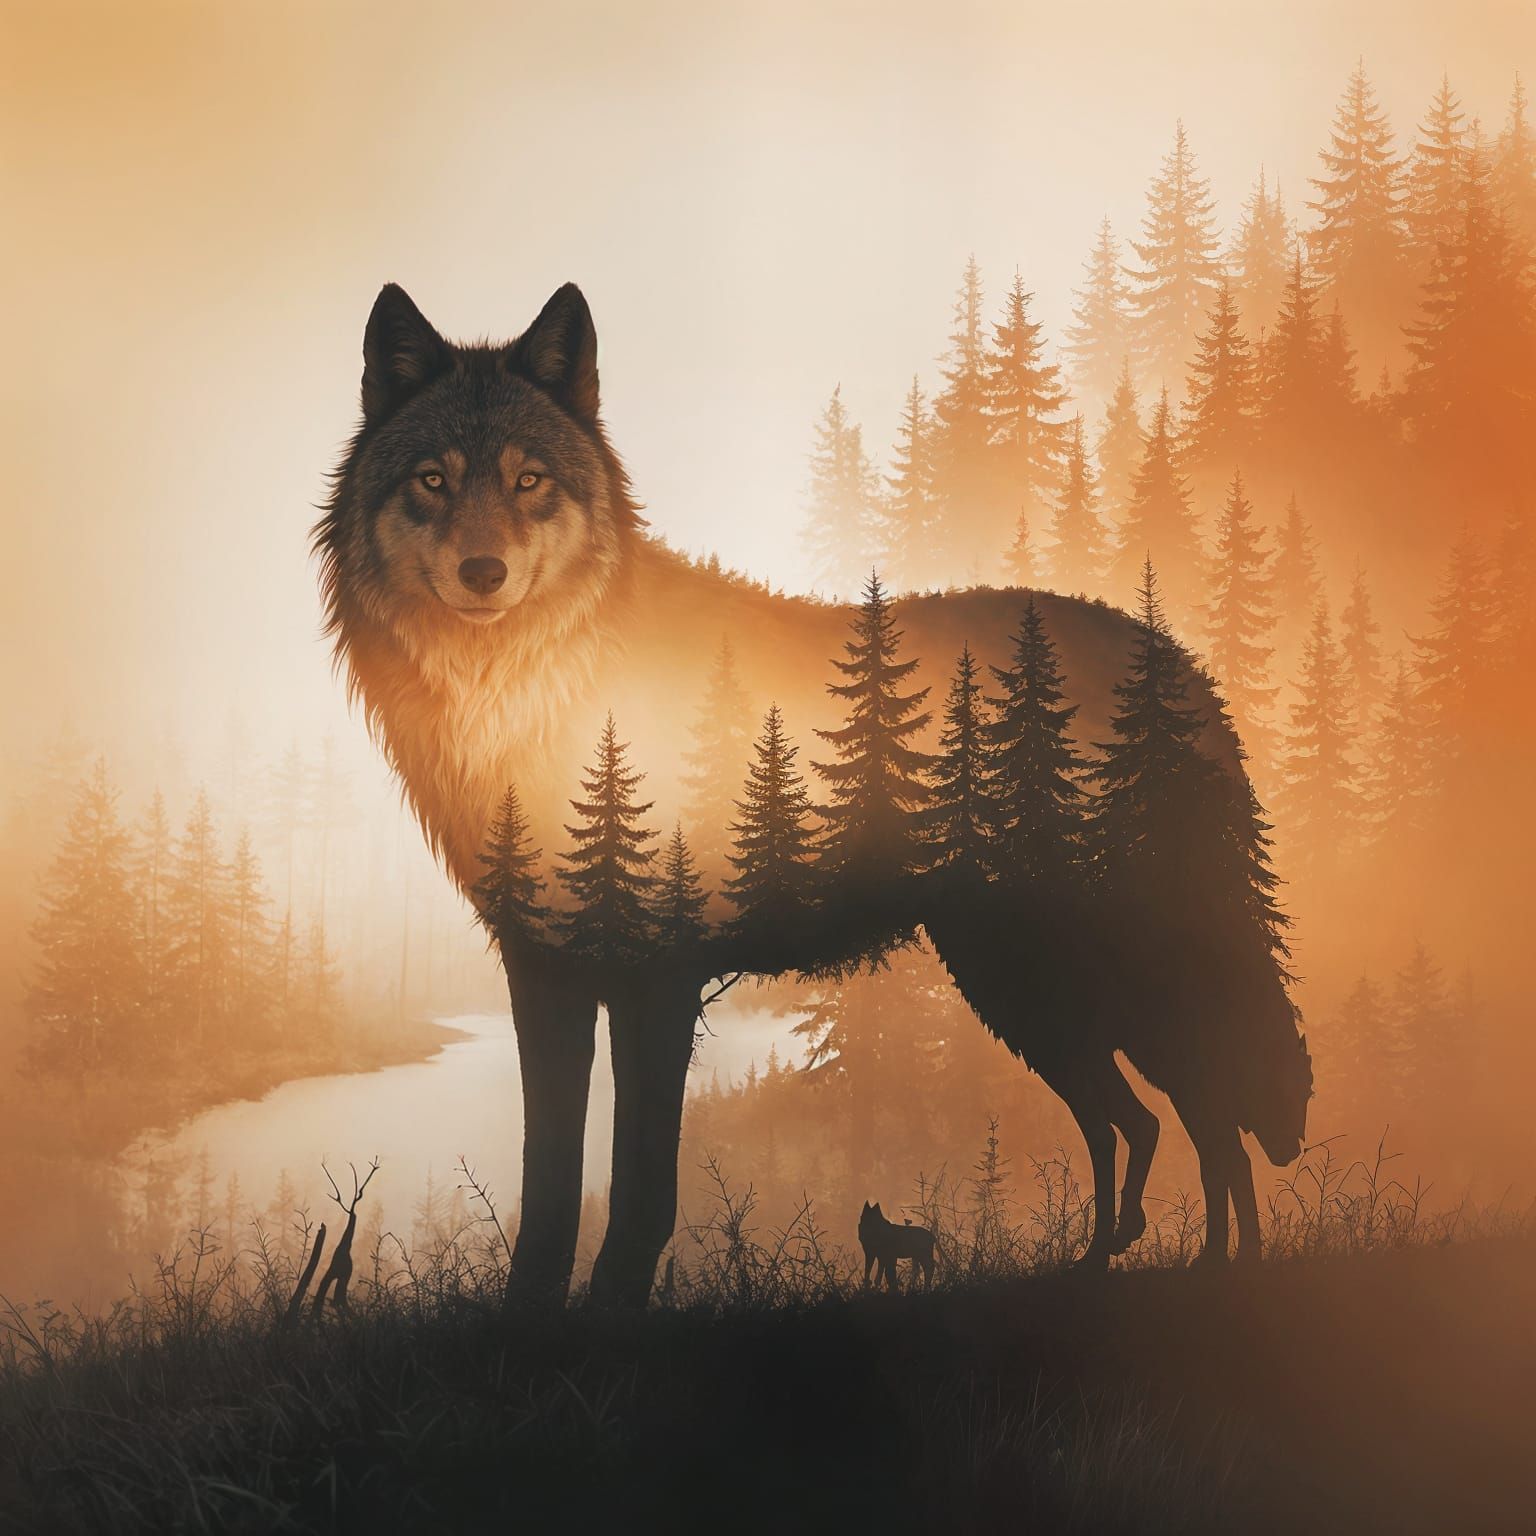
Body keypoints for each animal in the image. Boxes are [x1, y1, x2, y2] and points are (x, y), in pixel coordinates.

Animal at [315, 281, 1312, 1305]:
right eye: (433, 480)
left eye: (527, 481)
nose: (484, 574)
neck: (531, 696)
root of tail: (1180, 664)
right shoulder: (541, 972)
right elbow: (548, 1188)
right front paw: (531, 1321)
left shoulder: (656, 981)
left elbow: (641, 1192)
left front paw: (610, 1314)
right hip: (1027, 994)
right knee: (1146, 1121)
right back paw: (1131, 1260)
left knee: (1208, 1117)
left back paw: (1223, 1269)